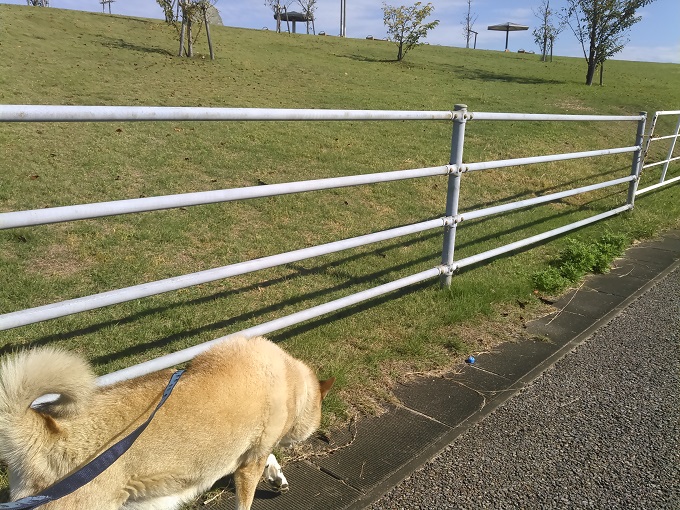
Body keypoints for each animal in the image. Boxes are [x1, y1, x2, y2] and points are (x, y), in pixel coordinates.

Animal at [0, 336, 334, 510]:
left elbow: (269, 458)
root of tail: (45, 429)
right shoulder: (250, 465)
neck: (292, 379)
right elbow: (247, 496)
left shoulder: (254, 452)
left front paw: (277, 476)